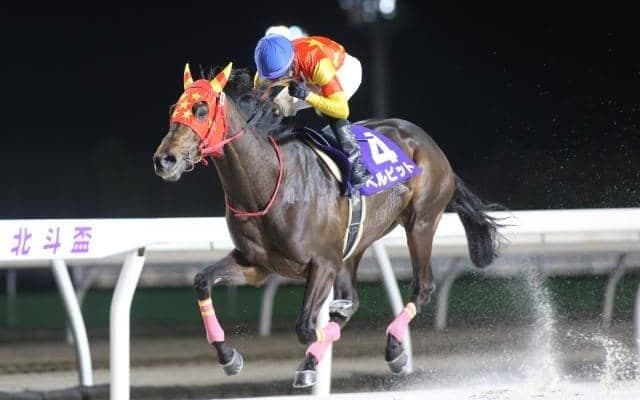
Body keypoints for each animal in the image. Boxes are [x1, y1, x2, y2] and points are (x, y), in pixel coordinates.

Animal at [152, 62, 505, 388]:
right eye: (173, 109)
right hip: (356, 243)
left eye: (200, 110)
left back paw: (394, 350)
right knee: (354, 298)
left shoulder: (322, 263)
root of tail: (428, 143)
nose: (164, 160)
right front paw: (229, 358)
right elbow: (202, 281)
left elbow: (307, 327)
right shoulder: (257, 265)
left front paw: (315, 356)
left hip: (421, 222)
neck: (267, 183)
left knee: (423, 286)